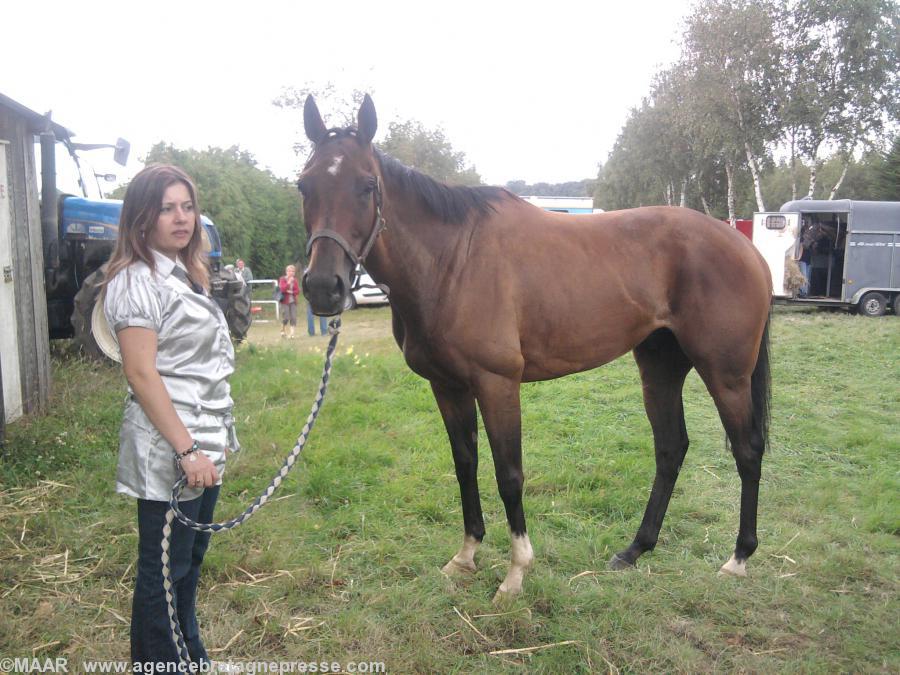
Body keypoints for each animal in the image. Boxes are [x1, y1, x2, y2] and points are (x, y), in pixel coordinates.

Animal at [298, 96, 772, 604]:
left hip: (726, 374)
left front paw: (515, 573)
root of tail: (744, 247)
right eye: (304, 185)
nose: (323, 287)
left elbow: (509, 475)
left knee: (747, 451)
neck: (452, 261)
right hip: (659, 367)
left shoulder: (497, 384)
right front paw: (465, 556)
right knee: (670, 448)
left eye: (367, 186)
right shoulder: (447, 387)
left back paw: (738, 558)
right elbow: (465, 464)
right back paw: (634, 550)